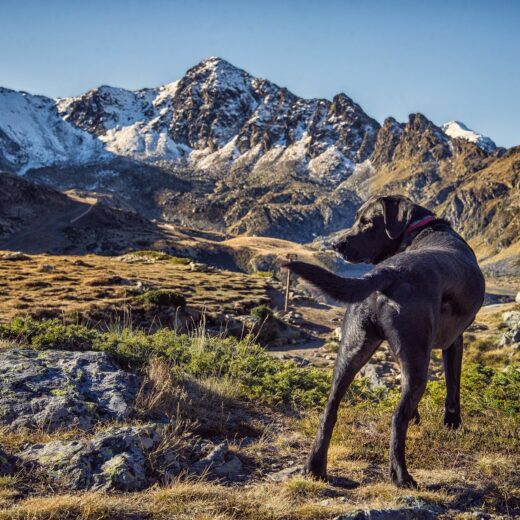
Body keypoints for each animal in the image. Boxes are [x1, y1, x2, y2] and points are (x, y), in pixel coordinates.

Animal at [284, 194, 484, 488]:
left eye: (366, 222)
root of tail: (386, 273)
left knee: (330, 408)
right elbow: (453, 386)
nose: (336, 244)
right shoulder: (454, 340)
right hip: (417, 359)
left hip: (352, 349)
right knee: (396, 418)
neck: (421, 229)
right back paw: (401, 476)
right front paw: (452, 423)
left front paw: (420, 417)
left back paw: (315, 468)